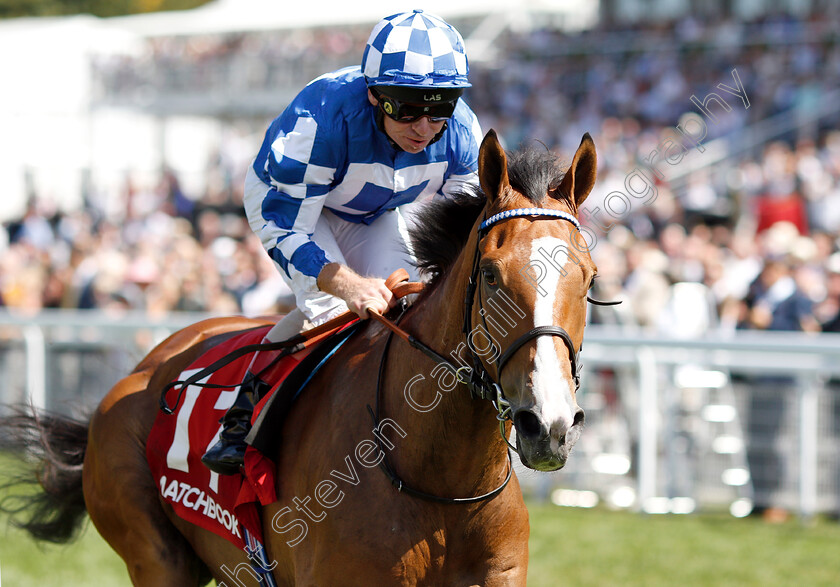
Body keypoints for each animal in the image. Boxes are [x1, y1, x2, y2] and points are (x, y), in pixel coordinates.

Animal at [4, 130, 596, 587]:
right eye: (491, 275)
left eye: (589, 278)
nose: (549, 425)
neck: (441, 481)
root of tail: (137, 374)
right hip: (155, 556)